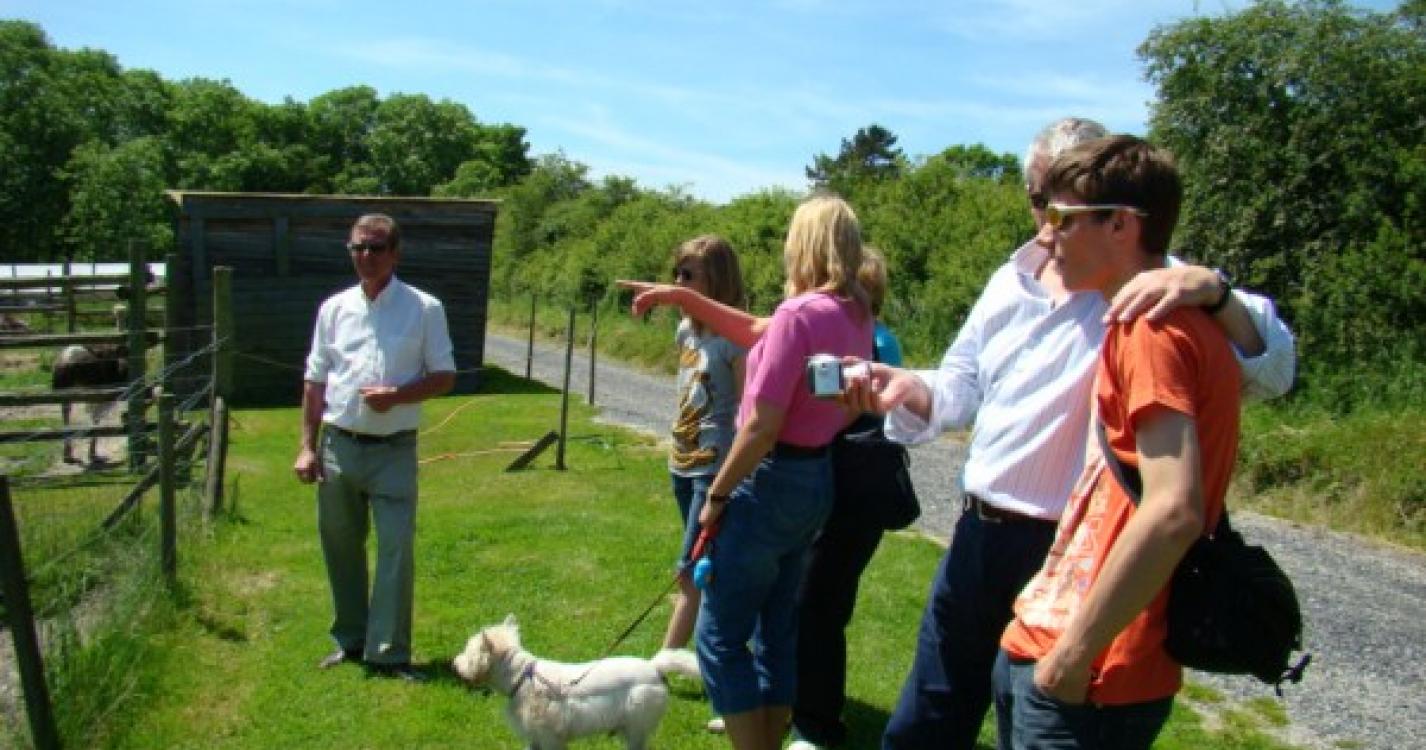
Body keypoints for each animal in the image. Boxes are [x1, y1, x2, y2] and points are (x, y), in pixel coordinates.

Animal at [452, 614, 701, 749]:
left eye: (468, 650)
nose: (455, 664)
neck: (521, 678)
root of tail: (654, 667)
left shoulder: (550, 737)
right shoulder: (535, 736)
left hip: (637, 725)